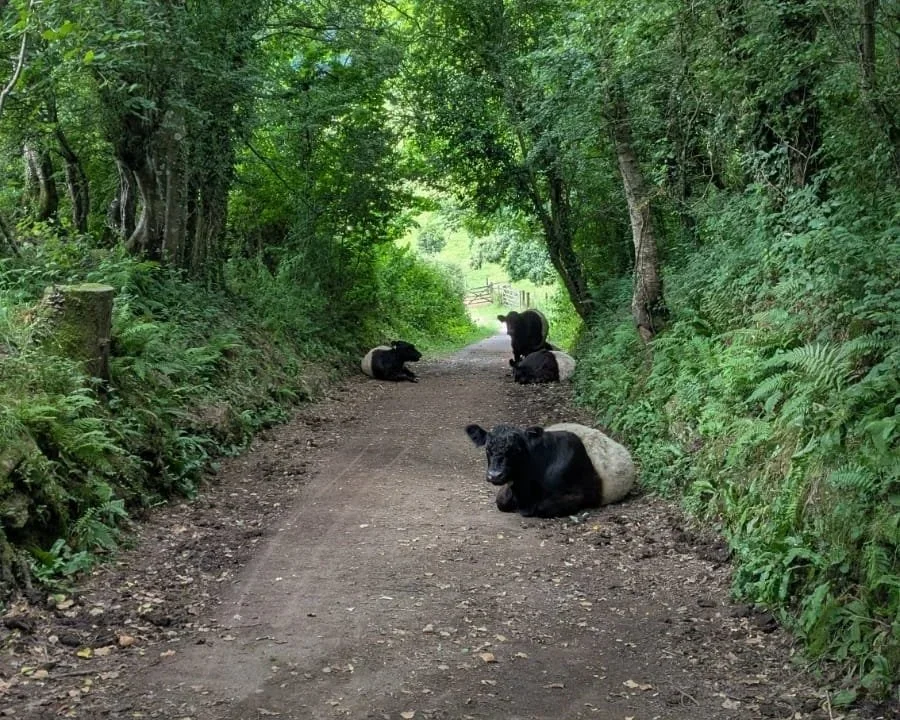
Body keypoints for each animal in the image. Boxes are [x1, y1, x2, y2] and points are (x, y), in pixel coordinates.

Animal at [464, 421, 634, 518]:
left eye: (516, 449)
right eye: (487, 449)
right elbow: (501, 501)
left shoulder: (575, 495)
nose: (494, 475)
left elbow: (541, 508)